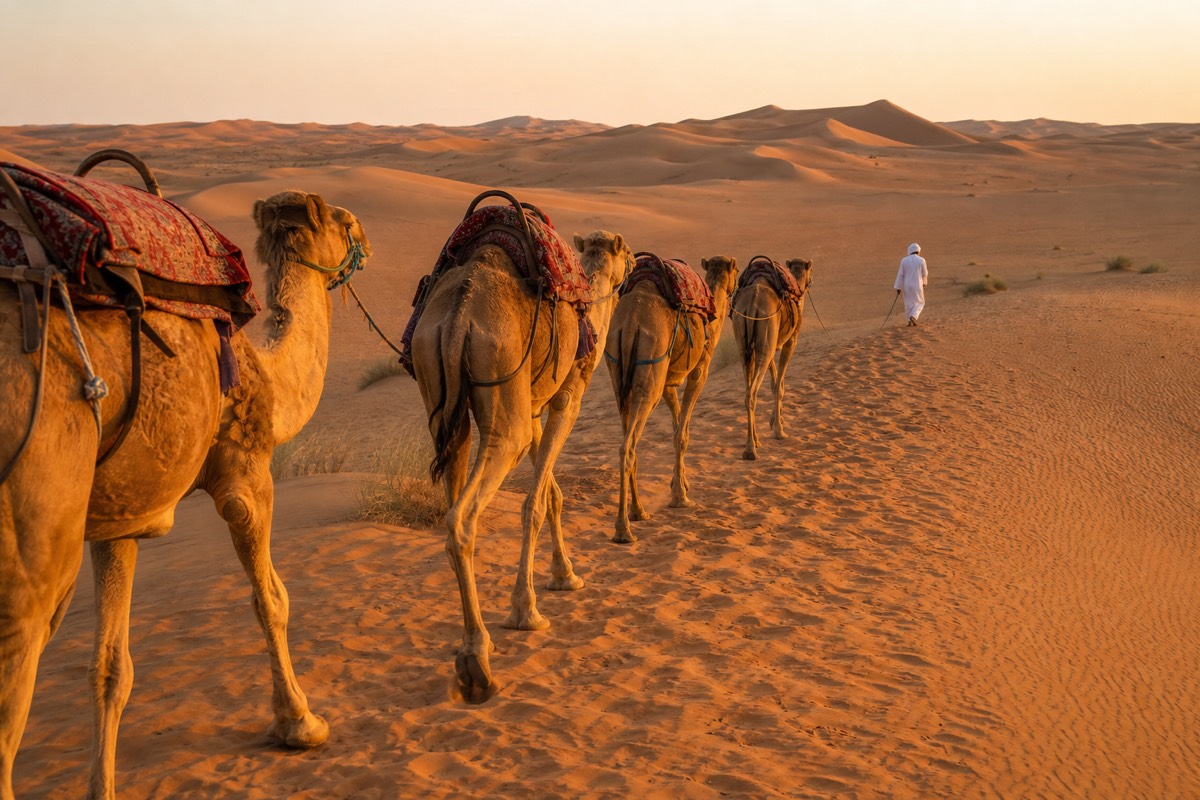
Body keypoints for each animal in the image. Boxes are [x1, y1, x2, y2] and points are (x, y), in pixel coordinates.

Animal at [0, 188, 369, 800]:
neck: (269, 377)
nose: (364, 234)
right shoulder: (245, 470)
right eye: (345, 222)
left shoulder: (120, 515)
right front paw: (299, 722)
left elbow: (110, 665)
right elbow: (271, 598)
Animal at [409, 219, 633, 704]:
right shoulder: (567, 395)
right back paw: (477, 659)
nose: (636, 263)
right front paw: (526, 609)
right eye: (626, 253)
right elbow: (535, 502)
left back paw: (473, 642)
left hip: (442, 397)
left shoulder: (531, 406)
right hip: (502, 397)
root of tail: (459, 315)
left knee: (455, 490)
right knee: (462, 517)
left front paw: (565, 574)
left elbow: (552, 494)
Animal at [605, 255, 739, 543]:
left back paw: (639, 511)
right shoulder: (700, 369)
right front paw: (681, 497)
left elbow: (677, 425)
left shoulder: (668, 381)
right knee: (627, 446)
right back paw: (623, 528)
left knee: (628, 437)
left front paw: (681, 484)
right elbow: (682, 433)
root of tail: (630, 323)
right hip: (650, 374)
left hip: (620, 377)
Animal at [731, 257, 813, 460]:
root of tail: (752, 302)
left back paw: (754, 441)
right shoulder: (791, 341)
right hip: (765, 334)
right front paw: (778, 429)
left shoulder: (772, 343)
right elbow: (779, 386)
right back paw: (750, 450)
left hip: (745, 344)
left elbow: (774, 380)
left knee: (748, 390)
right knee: (752, 393)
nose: (810, 282)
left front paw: (774, 421)